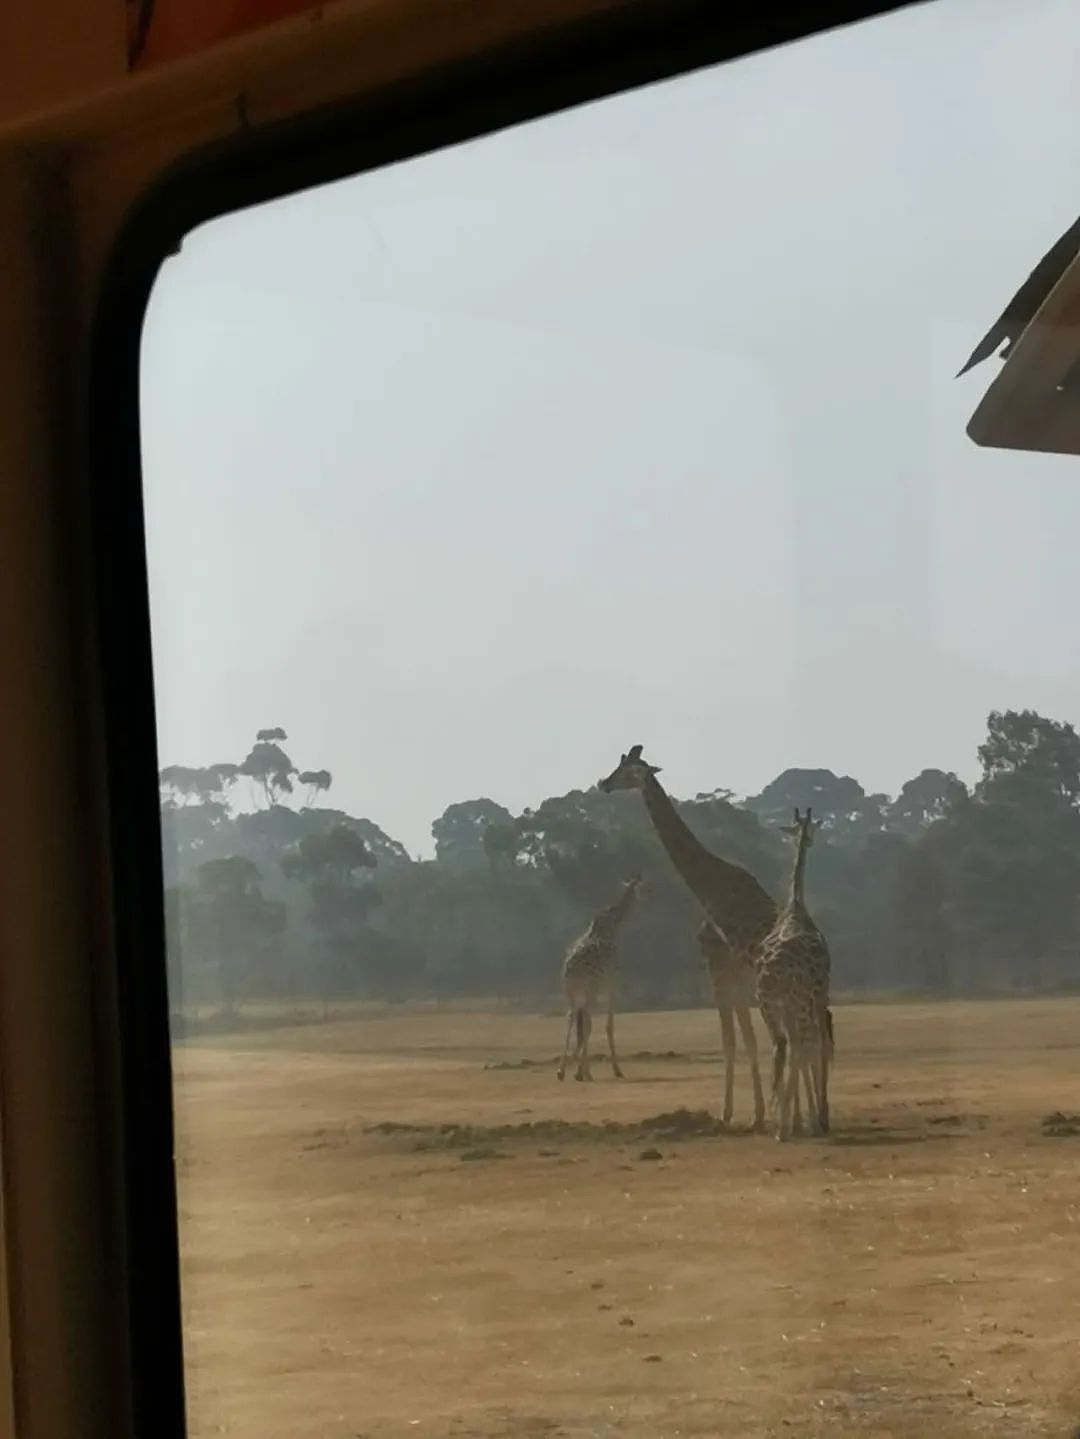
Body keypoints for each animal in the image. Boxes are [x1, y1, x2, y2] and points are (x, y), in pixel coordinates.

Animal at [557, 869, 641, 1082]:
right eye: (644, 888)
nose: (652, 894)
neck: (613, 925)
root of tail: (572, 968)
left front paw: (576, 1068)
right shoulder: (613, 983)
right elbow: (608, 1025)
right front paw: (616, 1069)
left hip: (570, 990)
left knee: (571, 1016)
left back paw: (562, 1071)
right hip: (591, 989)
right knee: (586, 1020)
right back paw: (584, 1071)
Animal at [601, 748, 776, 1128]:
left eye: (627, 771)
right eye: (618, 762)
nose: (602, 784)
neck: (711, 881)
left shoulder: (718, 965)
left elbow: (732, 1040)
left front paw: (728, 1114)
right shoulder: (732, 972)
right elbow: (747, 1038)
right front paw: (756, 1114)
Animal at [753, 811, 834, 1133]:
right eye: (809, 830)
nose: (809, 841)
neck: (796, 905)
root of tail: (779, 969)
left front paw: (802, 1117)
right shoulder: (821, 996)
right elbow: (817, 1046)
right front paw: (819, 1116)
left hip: (769, 1005)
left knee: (781, 1046)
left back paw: (783, 1122)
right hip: (797, 1002)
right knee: (801, 1045)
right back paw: (791, 1124)